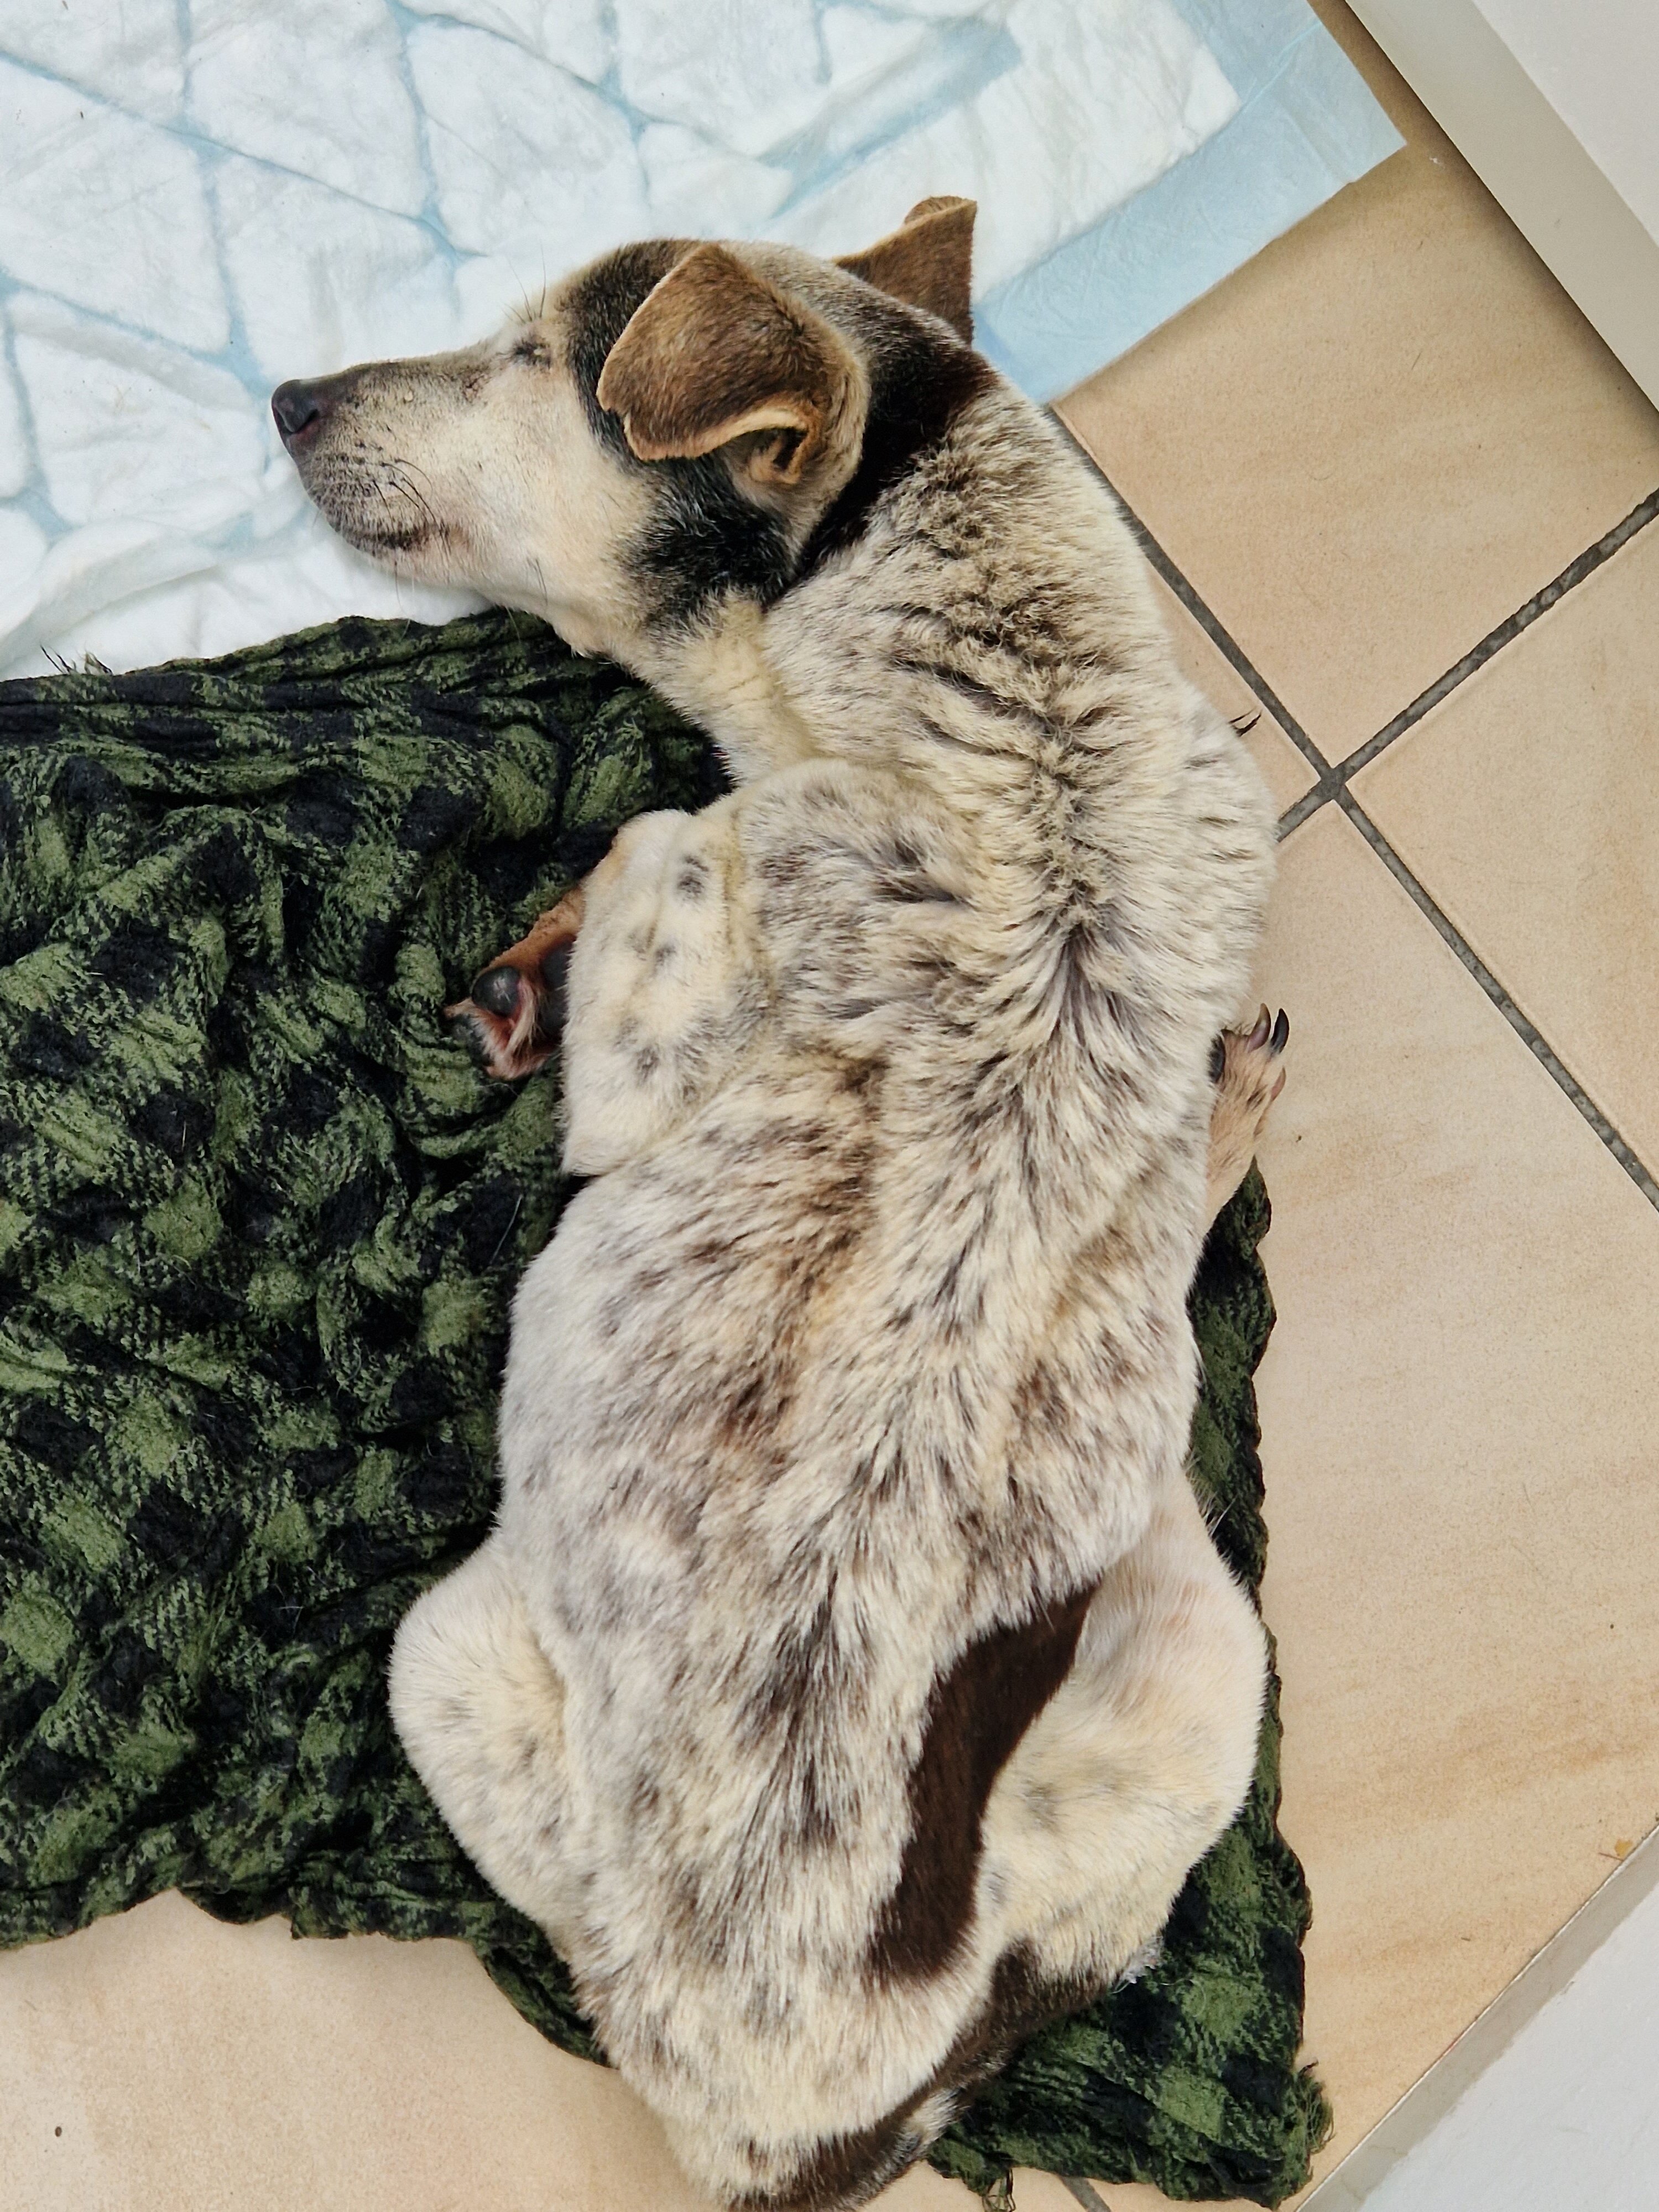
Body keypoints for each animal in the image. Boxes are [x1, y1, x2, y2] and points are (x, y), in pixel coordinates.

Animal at [272, 198, 1287, 2210]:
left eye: (527, 357)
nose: (286, 396)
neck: (1028, 730)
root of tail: (800, 2138)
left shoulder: (662, 993)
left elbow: (653, 852)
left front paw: (553, 956)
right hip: (1205, 1661)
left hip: (444, 1657)